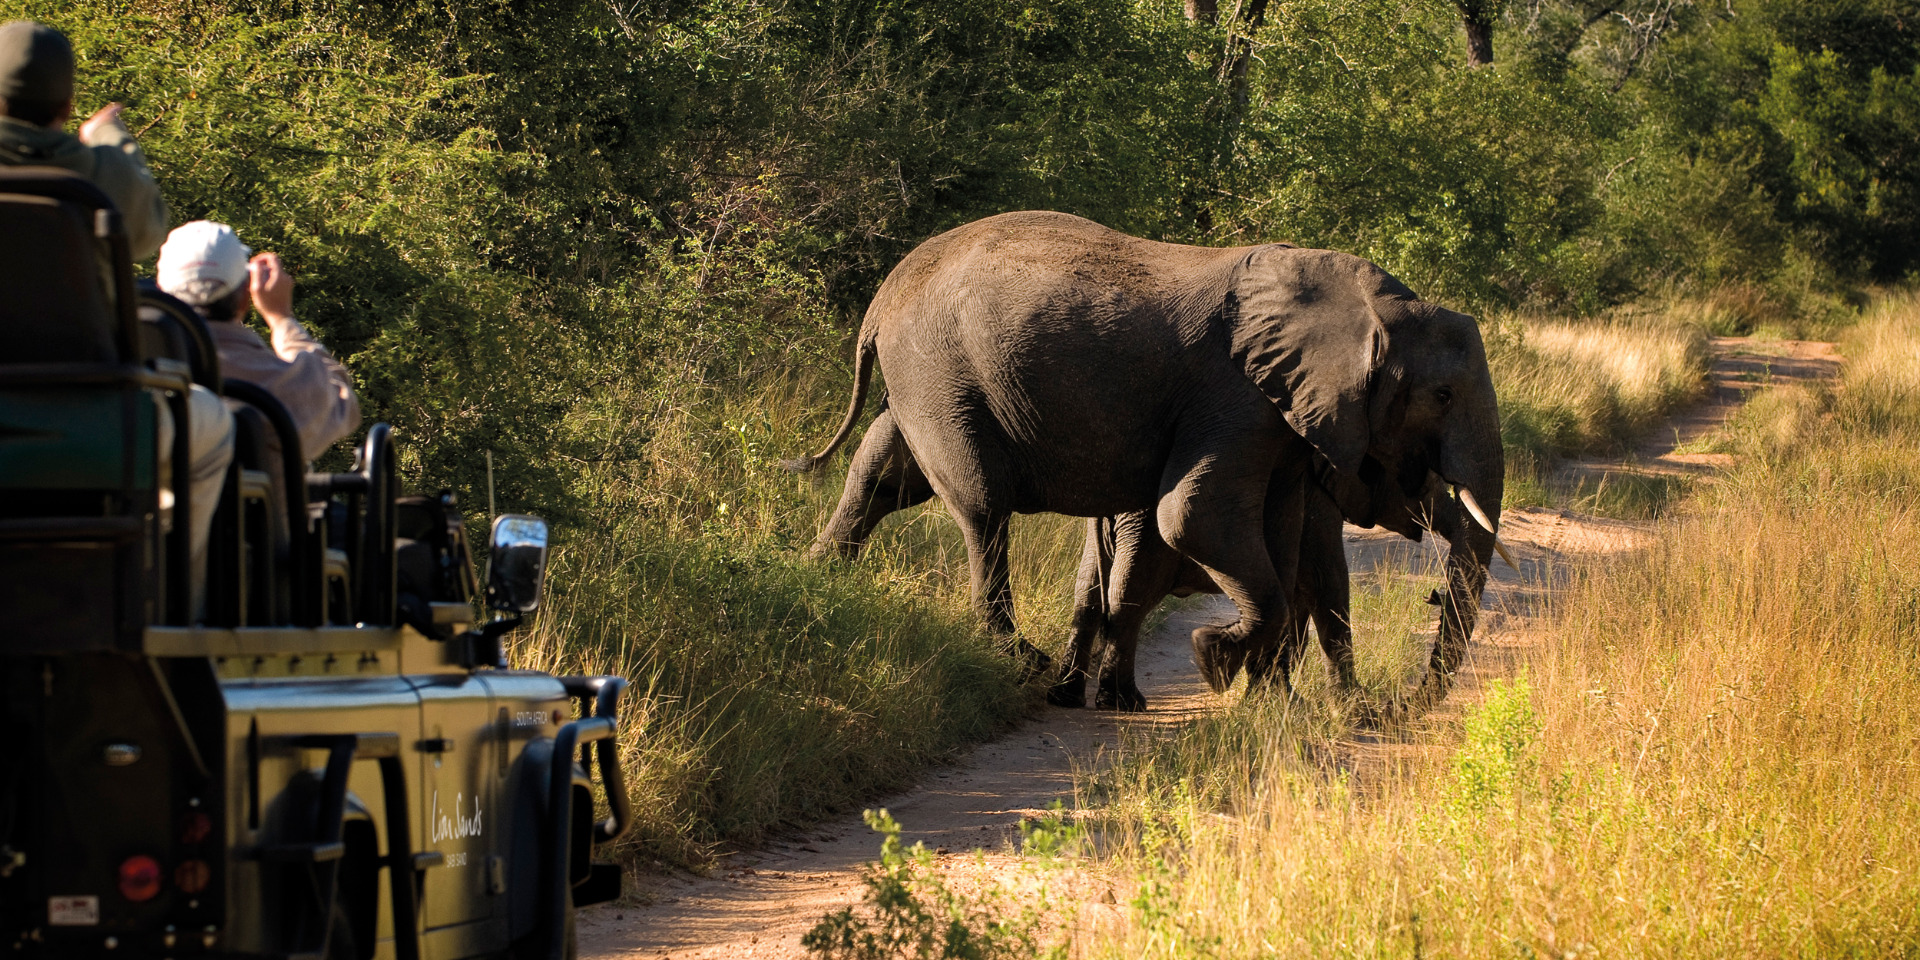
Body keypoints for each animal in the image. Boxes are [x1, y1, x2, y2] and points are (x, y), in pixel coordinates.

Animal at [787, 214, 1505, 687]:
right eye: (1442, 395)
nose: (1406, 699)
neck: (1367, 303)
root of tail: (881, 297)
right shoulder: (1238, 398)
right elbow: (1192, 517)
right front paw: (1213, 658)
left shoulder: (1281, 426)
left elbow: (1279, 536)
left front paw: (1258, 688)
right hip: (940, 372)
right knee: (983, 506)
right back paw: (1022, 660)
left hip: (919, 379)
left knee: (880, 475)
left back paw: (813, 579)